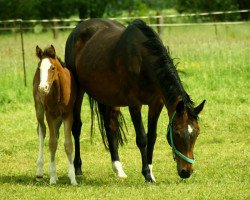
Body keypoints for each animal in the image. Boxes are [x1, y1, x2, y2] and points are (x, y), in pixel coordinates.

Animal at [33, 45, 77, 186]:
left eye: (52, 68)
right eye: (39, 68)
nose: (43, 88)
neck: (58, 92)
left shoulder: (68, 114)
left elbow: (68, 144)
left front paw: (73, 178)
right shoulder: (49, 114)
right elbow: (52, 143)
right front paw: (52, 178)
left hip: (58, 118)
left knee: (56, 134)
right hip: (39, 108)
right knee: (42, 131)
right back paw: (40, 172)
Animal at [65, 18, 205, 181]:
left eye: (196, 133)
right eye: (176, 133)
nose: (186, 172)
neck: (144, 60)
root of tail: (79, 28)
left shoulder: (156, 104)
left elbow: (152, 137)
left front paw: (151, 172)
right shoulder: (134, 105)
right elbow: (142, 138)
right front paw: (146, 174)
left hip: (109, 97)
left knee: (111, 127)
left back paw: (118, 169)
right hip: (79, 90)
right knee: (77, 128)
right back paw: (78, 169)